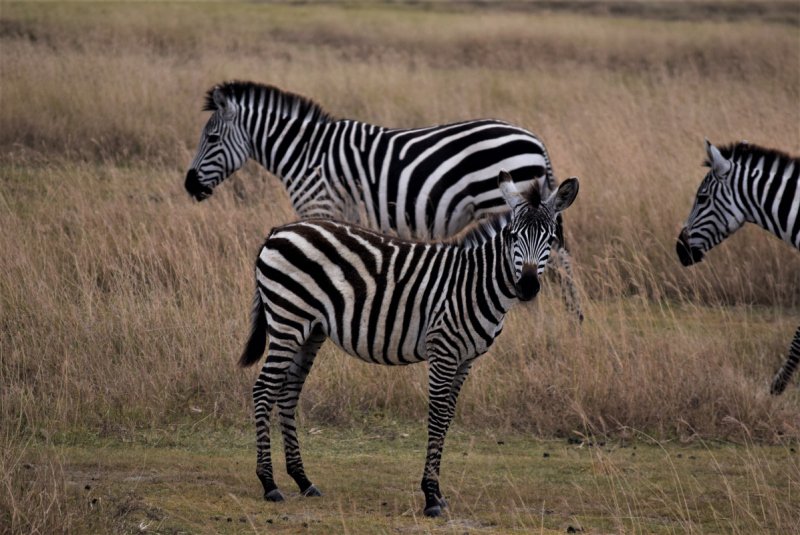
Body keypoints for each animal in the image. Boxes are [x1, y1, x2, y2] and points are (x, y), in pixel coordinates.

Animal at [185, 80, 583, 321]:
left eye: (212, 138)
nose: (189, 185)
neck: (305, 152)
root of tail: (534, 140)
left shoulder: (320, 204)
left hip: (507, 202)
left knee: (553, 263)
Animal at [239, 171, 579, 517]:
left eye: (550, 238)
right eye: (512, 236)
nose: (527, 287)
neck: (475, 284)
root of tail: (280, 230)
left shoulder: (465, 360)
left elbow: (448, 417)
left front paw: (438, 493)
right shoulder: (443, 349)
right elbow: (437, 416)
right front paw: (430, 496)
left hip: (310, 330)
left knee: (288, 392)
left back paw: (303, 480)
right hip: (287, 320)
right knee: (264, 389)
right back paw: (269, 483)